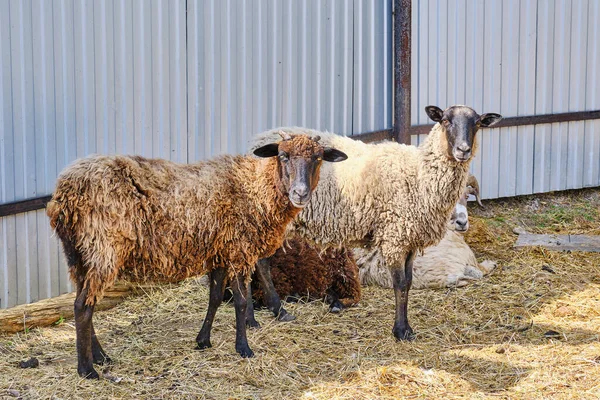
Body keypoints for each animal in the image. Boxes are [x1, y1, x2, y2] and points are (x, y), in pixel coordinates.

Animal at [47, 134, 346, 378]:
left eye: (318, 158)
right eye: (283, 156)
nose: (300, 193)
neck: (255, 188)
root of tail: (64, 193)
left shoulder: (220, 251)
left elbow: (214, 298)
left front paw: (203, 341)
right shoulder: (239, 250)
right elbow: (240, 302)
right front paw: (243, 347)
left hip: (78, 254)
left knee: (82, 302)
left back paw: (100, 356)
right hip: (101, 248)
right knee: (82, 307)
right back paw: (87, 369)